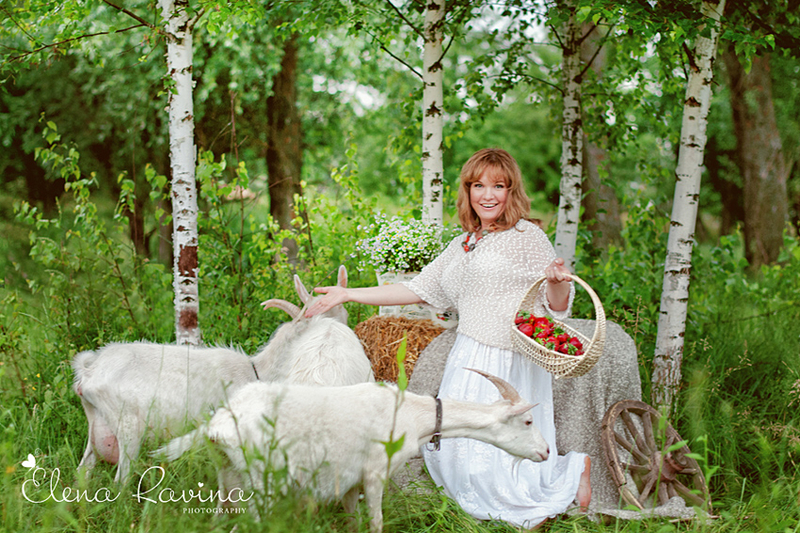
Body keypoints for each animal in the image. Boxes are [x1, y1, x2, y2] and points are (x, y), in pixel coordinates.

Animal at [72, 266, 372, 483]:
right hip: (128, 428)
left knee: (83, 473)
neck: (255, 370)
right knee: (120, 482)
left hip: (97, 427)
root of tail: (89, 371)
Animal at [155, 369, 549, 533]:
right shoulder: (374, 474)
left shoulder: (348, 480)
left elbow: (351, 519)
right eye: (528, 421)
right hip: (258, 486)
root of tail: (219, 424)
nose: (546, 452)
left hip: (227, 478)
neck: (410, 413)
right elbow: (375, 522)